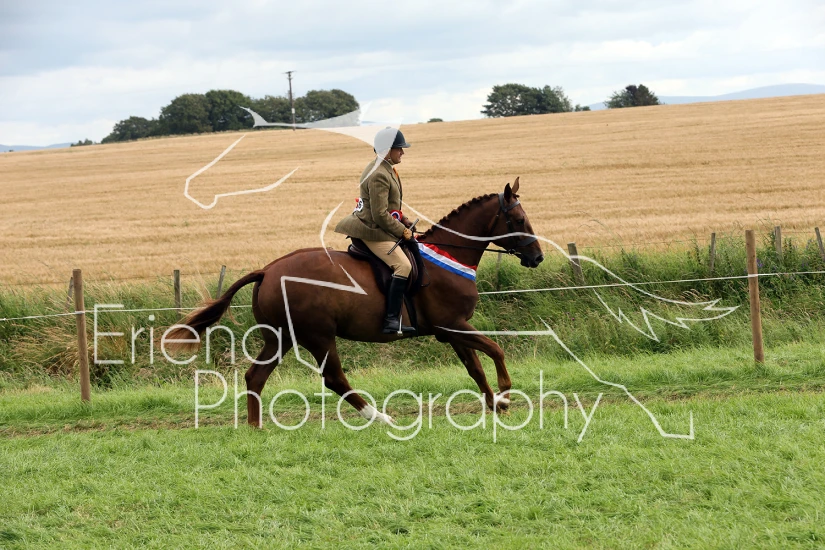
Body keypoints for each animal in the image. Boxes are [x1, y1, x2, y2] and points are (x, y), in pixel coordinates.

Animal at [167, 177, 544, 427]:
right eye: (519, 220)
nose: (538, 257)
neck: (449, 257)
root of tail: (268, 270)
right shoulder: (453, 324)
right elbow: (495, 350)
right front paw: (506, 394)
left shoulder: (451, 330)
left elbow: (475, 366)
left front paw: (495, 404)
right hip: (318, 335)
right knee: (334, 378)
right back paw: (379, 417)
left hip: (281, 336)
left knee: (256, 376)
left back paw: (255, 427)